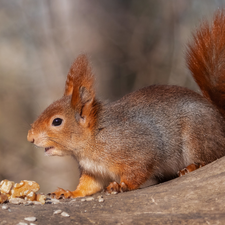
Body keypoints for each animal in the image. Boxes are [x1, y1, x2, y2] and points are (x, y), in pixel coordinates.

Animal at [27, 10, 225, 198]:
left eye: (57, 121)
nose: (30, 138)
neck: (93, 139)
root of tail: (220, 120)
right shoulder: (94, 171)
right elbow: (88, 186)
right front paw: (69, 192)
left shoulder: (140, 149)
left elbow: (138, 171)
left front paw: (122, 185)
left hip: (198, 135)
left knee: (210, 155)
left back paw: (193, 166)